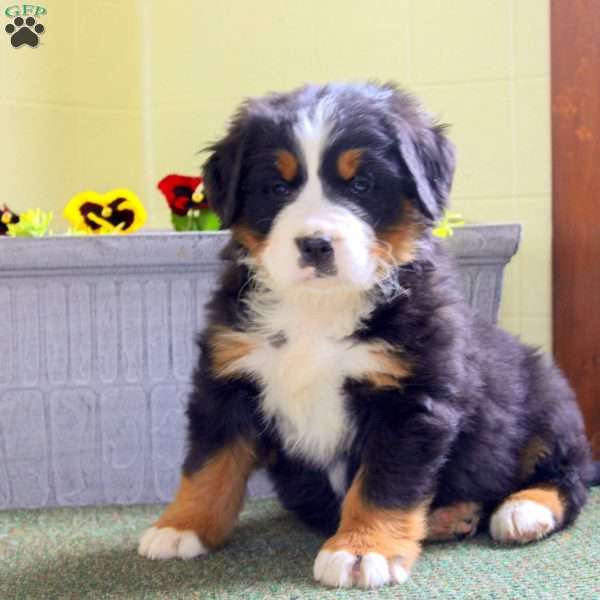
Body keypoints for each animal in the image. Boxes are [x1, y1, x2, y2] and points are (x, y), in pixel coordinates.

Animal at [137, 82, 600, 588]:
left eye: (361, 184)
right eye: (277, 187)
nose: (315, 244)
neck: (317, 310)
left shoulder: (409, 399)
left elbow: (383, 484)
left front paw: (362, 550)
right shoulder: (229, 379)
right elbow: (209, 464)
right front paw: (181, 527)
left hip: (547, 399)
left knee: (569, 475)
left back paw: (524, 509)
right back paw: (450, 515)